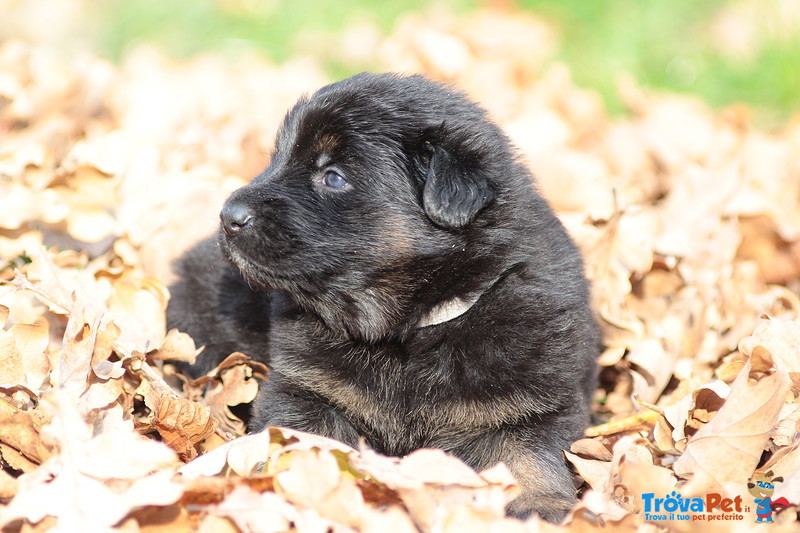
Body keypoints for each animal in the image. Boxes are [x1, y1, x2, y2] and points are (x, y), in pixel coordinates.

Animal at [166, 72, 596, 520]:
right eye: (277, 159)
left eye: (333, 176)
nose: (228, 215)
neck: (407, 330)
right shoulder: (309, 390)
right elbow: (302, 440)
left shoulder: (529, 403)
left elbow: (527, 453)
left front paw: (541, 502)